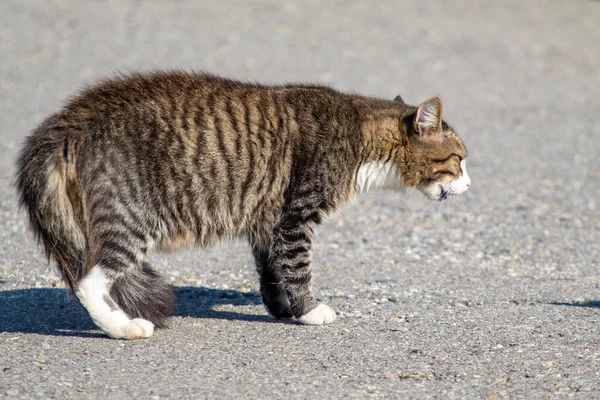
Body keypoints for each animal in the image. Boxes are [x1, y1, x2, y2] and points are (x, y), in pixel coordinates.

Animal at [15, 71, 468, 338]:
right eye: (459, 160)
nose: (470, 182)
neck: (360, 136)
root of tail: (71, 118)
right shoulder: (296, 216)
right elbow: (298, 268)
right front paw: (309, 311)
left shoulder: (269, 220)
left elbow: (273, 272)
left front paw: (283, 308)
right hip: (132, 220)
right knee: (89, 281)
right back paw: (122, 327)